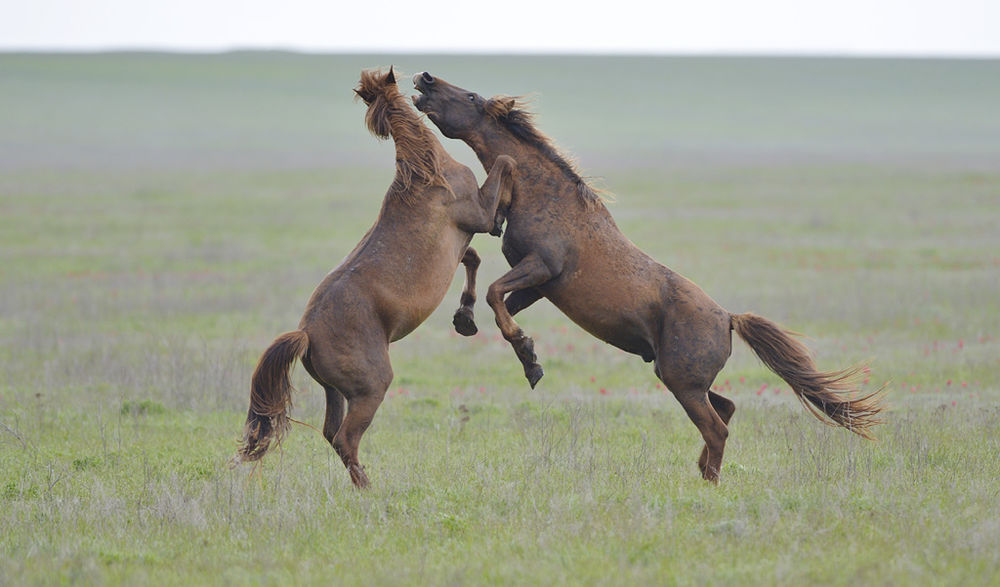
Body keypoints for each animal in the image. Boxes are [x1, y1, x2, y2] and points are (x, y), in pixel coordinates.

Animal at [236, 68, 516, 486]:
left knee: (331, 433)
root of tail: (306, 335)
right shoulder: (476, 215)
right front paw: (503, 217)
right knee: (346, 438)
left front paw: (465, 319)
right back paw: (371, 488)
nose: (425, 77)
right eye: (469, 97)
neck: (428, 174)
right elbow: (504, 163)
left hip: (335, 391)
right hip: (371, 388)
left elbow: (473, 259)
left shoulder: (461, 242)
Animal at [410, 71, 880, 482]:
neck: (544, 195)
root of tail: (729, 319)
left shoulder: (541, 267)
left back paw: (709, 483)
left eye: (472, 97)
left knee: (718, 426)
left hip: (682, 383)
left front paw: (526, 356)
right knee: (726, 409)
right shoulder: (540, 285)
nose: (424, 79)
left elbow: (495, 295)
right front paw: (512, 348)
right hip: (684, 380)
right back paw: (702, 471)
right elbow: (497, 300)